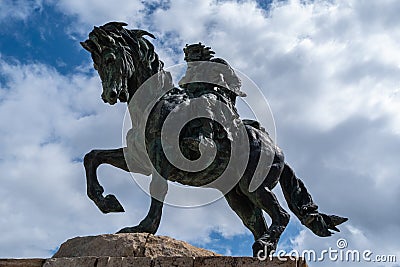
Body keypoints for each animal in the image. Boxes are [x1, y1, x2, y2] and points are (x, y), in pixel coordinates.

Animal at [81, 22, 346, 258]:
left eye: (110, 58)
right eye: (96, 64)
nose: (110, 95)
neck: (153, 104)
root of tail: (276, 147)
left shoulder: (162, 159)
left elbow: (158, 189)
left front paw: (143, 227)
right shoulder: (139, 160)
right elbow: (92, 157)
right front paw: (107, 202)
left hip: (255, 186)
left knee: (281, 215)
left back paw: (265, 244)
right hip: (237, 196)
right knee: (257, 221)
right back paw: (261, 251)